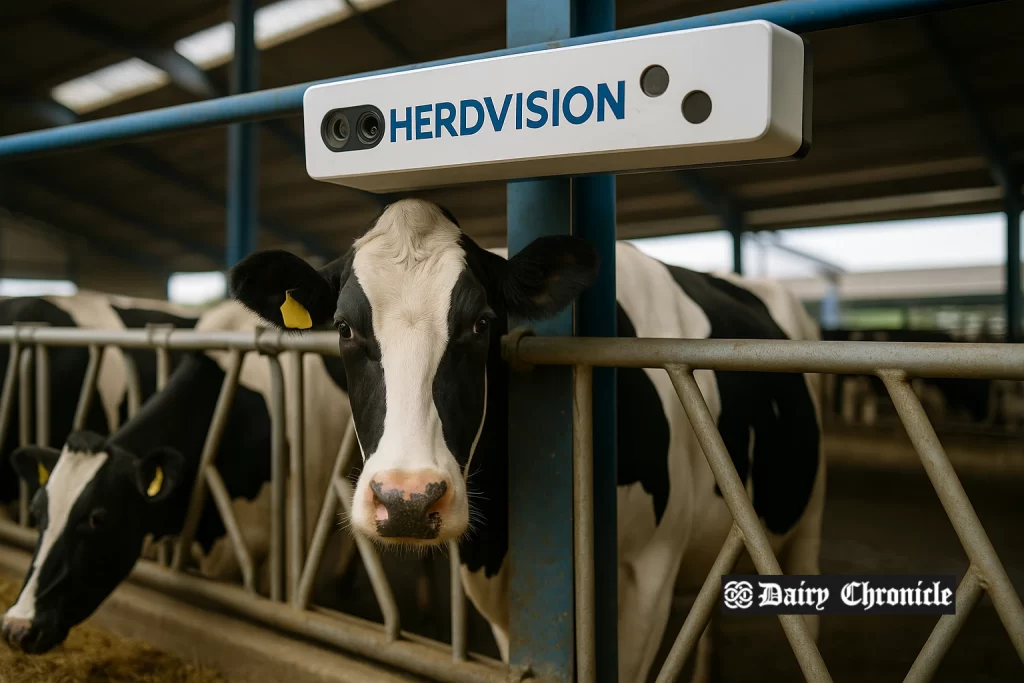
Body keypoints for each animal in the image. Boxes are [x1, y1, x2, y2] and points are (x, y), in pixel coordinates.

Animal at [228, 198, 826, 683]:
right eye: (345, 327)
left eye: (481, 323)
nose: (407, 500)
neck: (502, 539)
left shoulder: (648, 571)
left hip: (802, 520)